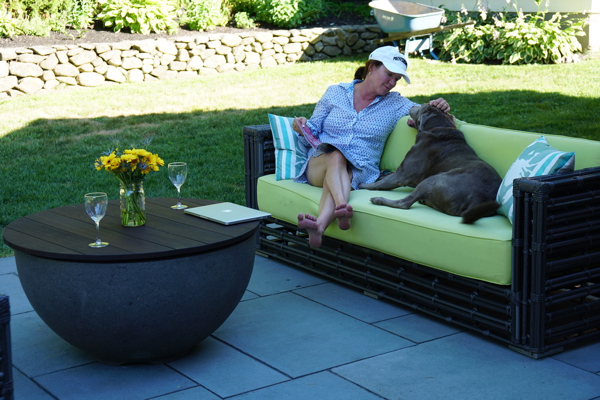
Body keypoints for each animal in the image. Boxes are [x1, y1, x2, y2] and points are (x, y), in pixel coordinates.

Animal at [359, 104, 501, 224]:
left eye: (421, 106)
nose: (413, 105)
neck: (437, 127)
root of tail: (477, 201)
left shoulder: (402, 174)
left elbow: (380, 183)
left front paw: (363, 185)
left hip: (433, 181)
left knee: (404, 203)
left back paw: (378, 200)